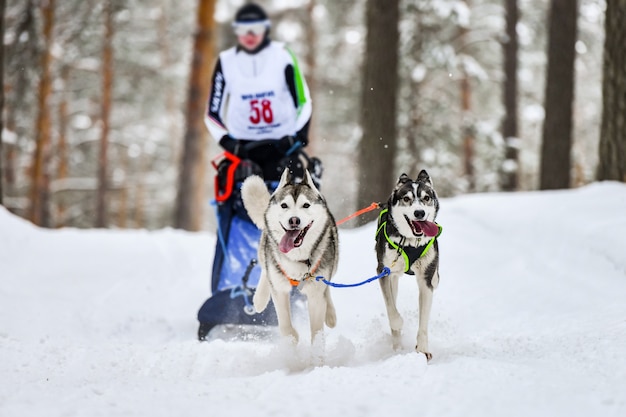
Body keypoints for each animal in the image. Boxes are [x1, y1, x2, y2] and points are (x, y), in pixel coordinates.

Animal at [240, 167, 336, 342]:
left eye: (306, 205)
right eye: (284, 205)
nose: (294, 220)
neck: (297, 257)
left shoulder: (316, 294)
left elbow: (317, 331)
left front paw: (317, 349)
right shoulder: (279, 289)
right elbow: (285, 326)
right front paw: (291, 339)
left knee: (328, 288)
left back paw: (331, 314)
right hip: (266, 251)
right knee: (265, 267)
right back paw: (259, 299)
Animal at [372, 171, 442, 360]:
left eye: (426, 198)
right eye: (406, 198)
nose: (419, 212)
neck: (410, 242)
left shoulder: (426, 279)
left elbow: (423, 321)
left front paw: (423, 349)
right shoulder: (384, 272)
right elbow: (391, 309)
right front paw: (398, 323)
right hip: (392, 277)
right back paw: (397, 347)